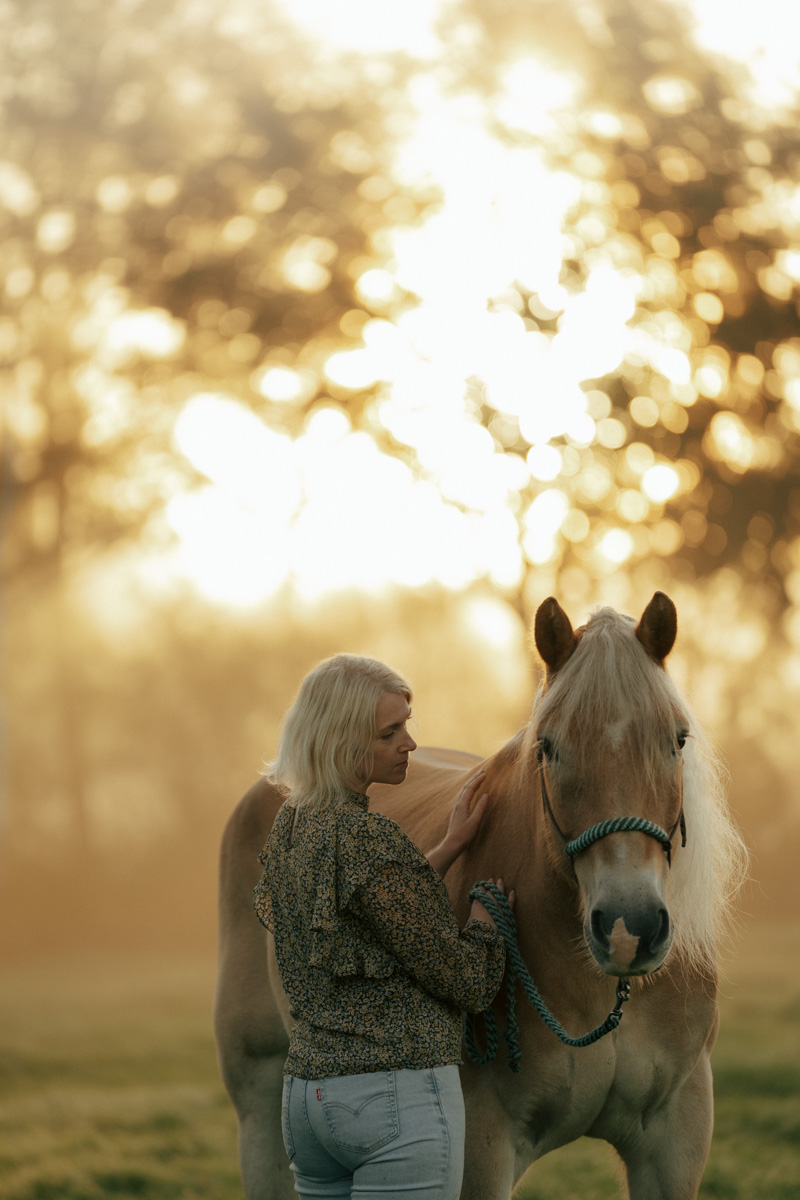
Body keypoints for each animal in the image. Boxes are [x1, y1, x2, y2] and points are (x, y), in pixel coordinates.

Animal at [215, 592, 748, 1200]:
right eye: (548, 747)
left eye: (677, 739)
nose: (627, 929)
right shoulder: (481, 1145)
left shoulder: (673, 1136)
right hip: (260, 1100)